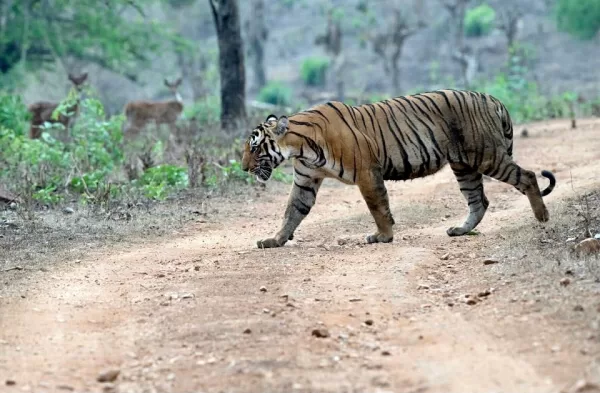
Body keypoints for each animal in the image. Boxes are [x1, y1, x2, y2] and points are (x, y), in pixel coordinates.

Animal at [241, 89, 556, 248]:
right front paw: (275, 240)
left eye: (254, 148)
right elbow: (292, 211)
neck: (300, 146)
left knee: (527, 176)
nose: (243, 168)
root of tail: (494, 99)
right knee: (479, 200)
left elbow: (378, 207)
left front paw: (382, 237)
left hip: (486, 156)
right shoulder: (306, 180)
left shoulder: (367, 172)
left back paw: (542, 217)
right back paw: (460, 230)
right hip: (464, 165)